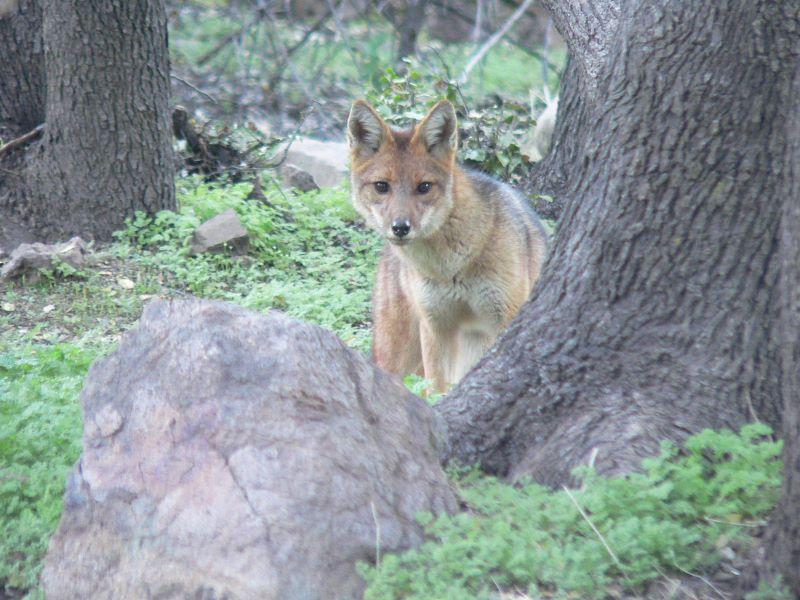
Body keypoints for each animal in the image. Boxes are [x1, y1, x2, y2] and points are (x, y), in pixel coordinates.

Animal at [346, 99, 548, 394]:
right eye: (382, 186)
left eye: (424, 187)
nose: (400, 227)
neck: (451, 267)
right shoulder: (436, 326)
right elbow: (435, 390)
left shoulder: (506, 317)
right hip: (399, 355)